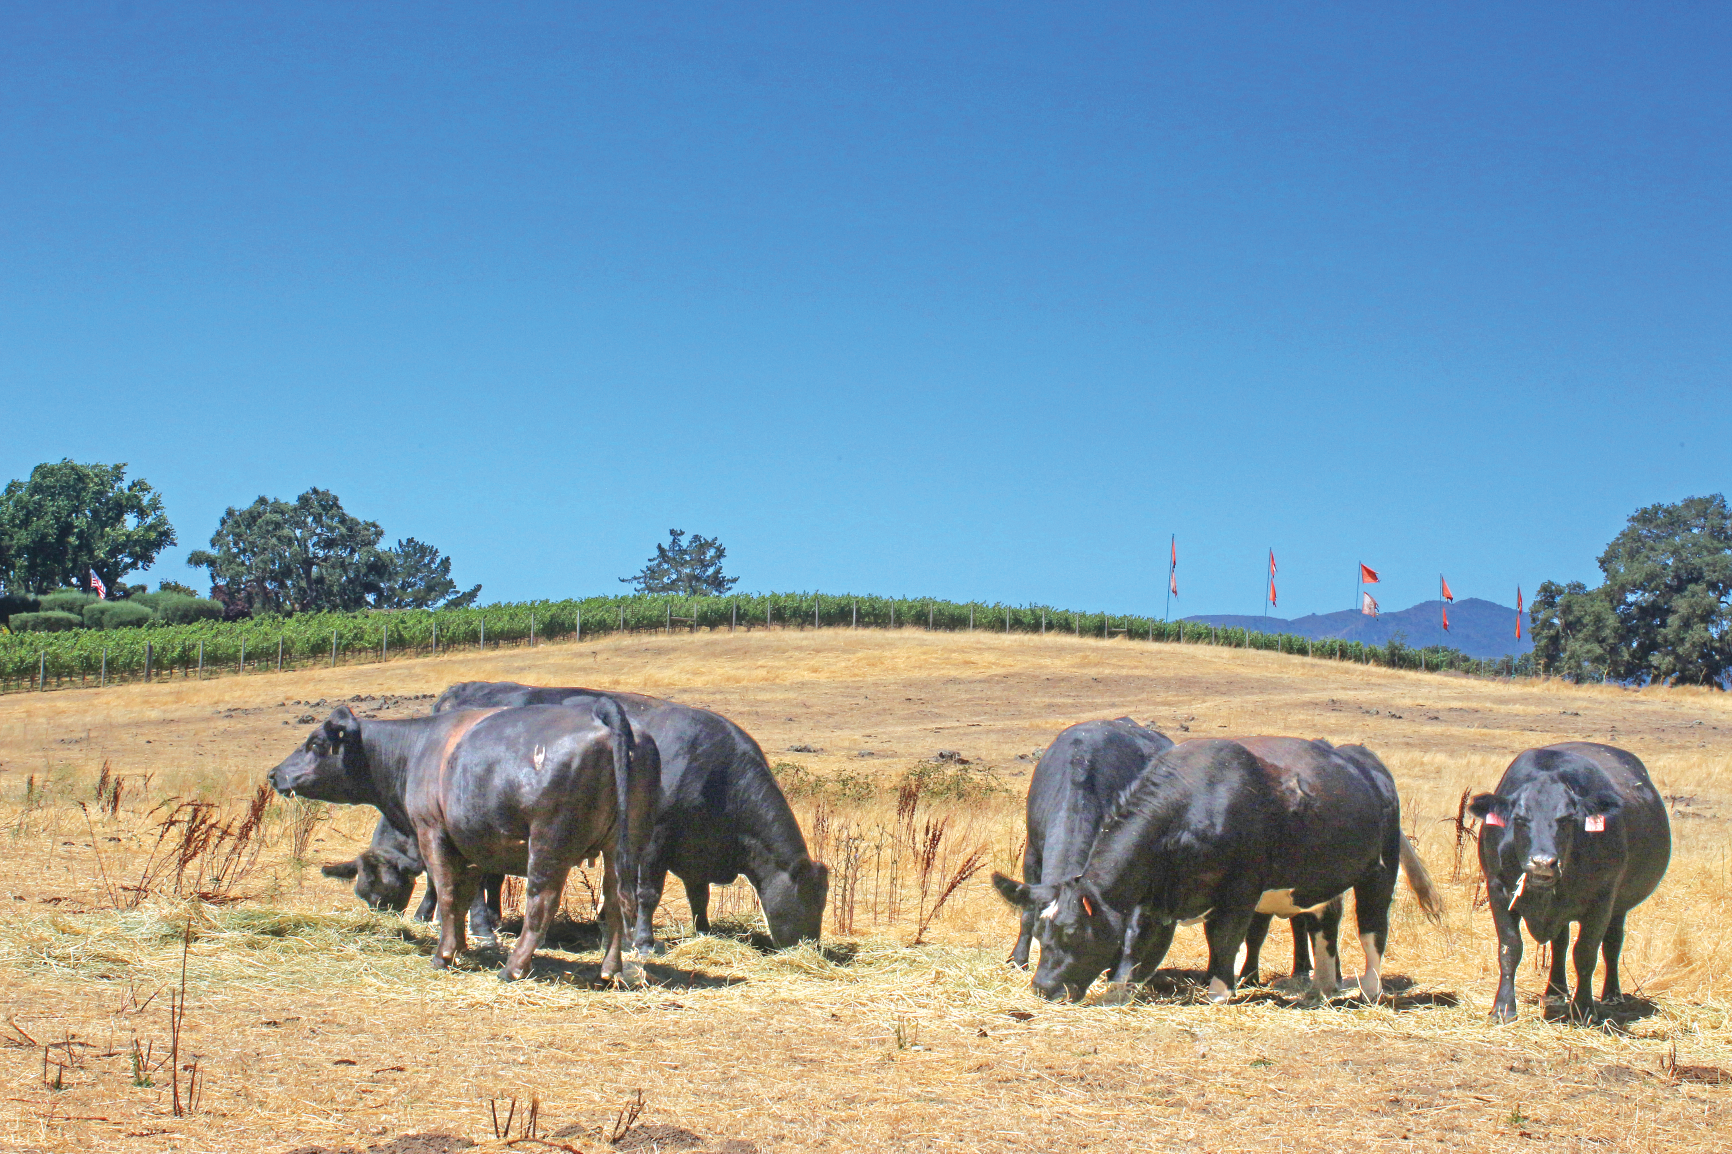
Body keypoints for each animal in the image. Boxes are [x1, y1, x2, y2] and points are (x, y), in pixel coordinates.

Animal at [271, 701, 658, 981]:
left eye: (316, 743)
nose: (274, 773)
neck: (416, 749)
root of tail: (600, 713)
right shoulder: (472, 845)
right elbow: (465, 896)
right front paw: (461, 945)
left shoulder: (432, 833)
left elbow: (447, 893)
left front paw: (443, 953)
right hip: (623, 845)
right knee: (614, 903)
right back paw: (609, 971)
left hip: (549, 843)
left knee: (542, 903)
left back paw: (514, 967)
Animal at [432, 682, 827, 954]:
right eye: (809, 898)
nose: (811, 945)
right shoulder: (654, 840)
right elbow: (648, 893)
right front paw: (644, 940)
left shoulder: (695, 850)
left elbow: (699, 897)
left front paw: (703, 930)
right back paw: (482, 929)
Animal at [994, 737, 1441, 1003]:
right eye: (1042, 931)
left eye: (1071, 932)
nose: (1041, 987)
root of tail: (1363, 758)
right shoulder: (1159, 894)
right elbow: (1139, 942)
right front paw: (1119, 988)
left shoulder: (1241, 890)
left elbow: (1225, 937)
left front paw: (1220, 990)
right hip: (1320, 881)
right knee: (1324, 926)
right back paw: (1321, 987)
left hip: (1378, 871)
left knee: (1372, 929)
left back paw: (1370, 989)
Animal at [1468, 741, 1670, 1023]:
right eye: (1519, 818)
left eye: (1567, 819)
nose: (1543, 862)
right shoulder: (1498, 890)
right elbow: (1510, 948)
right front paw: (1503, 1007)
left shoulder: (1601, 901)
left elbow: (1585, 953)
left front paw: (1584, 1008)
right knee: (1560, 945)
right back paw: (1555, 991)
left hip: (1618, 906)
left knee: (1612, 945)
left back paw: (1612, 994)